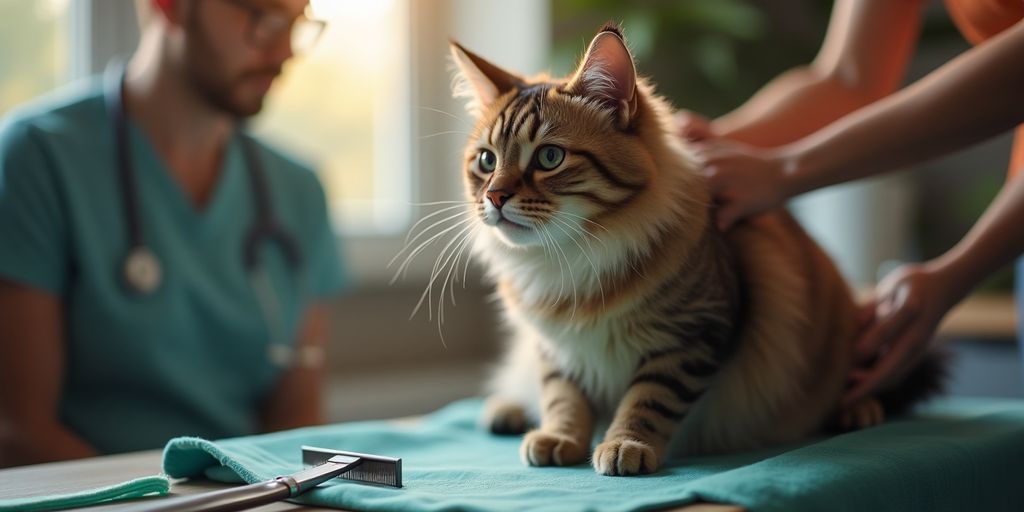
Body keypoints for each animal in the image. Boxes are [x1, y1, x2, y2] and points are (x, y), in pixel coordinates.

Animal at [444, 20, 937, 475]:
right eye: (487, 161)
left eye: (549, 157)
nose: (495, 197)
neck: (568, 258)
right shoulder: (555, 348)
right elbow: (563, 396)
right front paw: (559, 438)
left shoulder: (691, 334)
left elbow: (649, 398)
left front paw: (624, 446)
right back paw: (506, 411)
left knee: (866, 381)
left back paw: (857, 408)